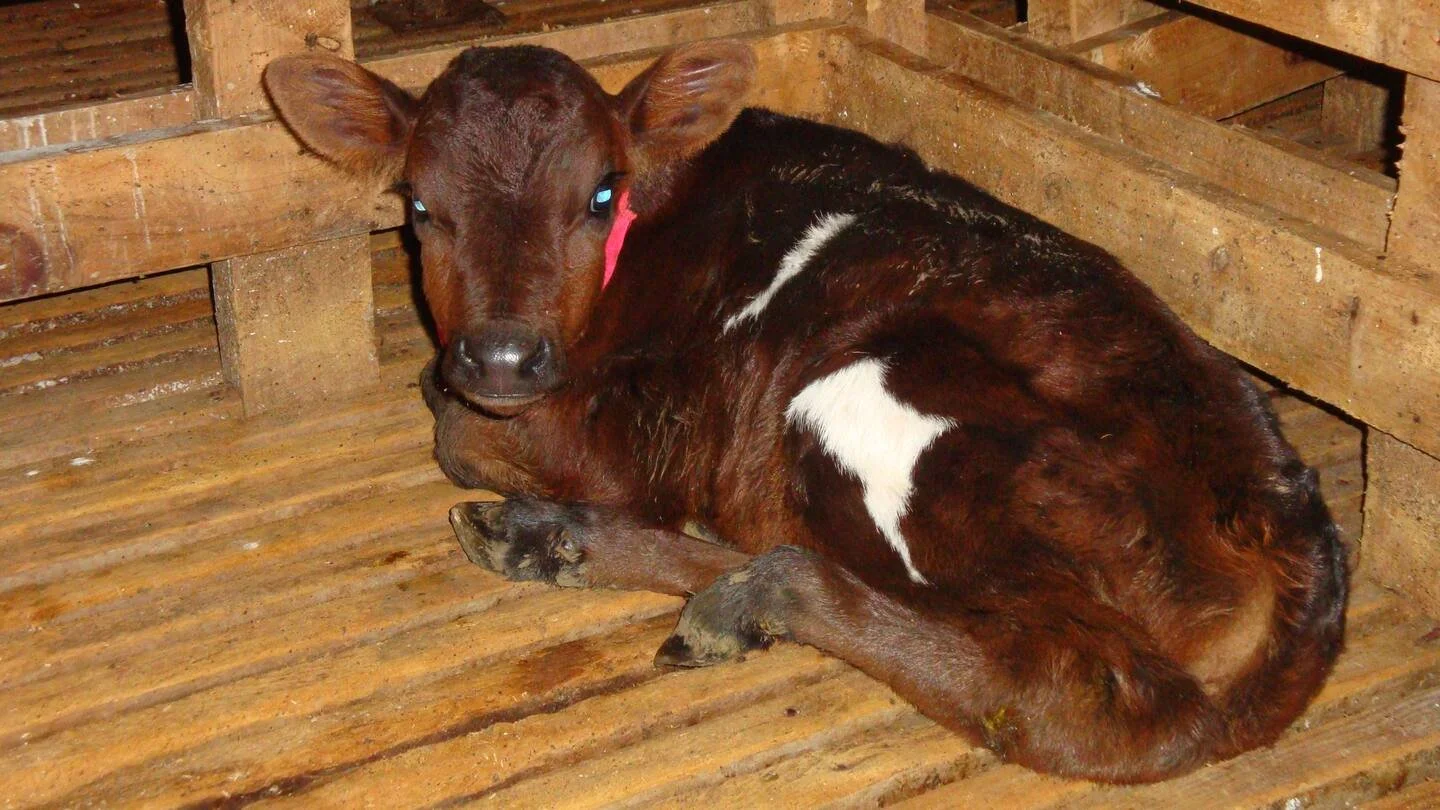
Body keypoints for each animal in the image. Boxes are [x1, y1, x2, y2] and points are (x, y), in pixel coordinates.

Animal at [263, 38, 1347, 783]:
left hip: (870, 406)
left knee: (1070, 691)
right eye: (418, 205)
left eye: (600, 195)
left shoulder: (626, 445)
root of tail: (1286, 514)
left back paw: (728, 587)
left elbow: (453, 431)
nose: (500, 355)